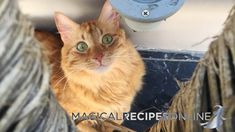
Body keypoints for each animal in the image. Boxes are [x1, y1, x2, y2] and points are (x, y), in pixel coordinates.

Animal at [36, 0, 144, 131]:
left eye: (107, 39)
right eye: (81, 46)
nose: (99, 57)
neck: (107, 85)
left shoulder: (118, 115)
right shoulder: (76, 119)